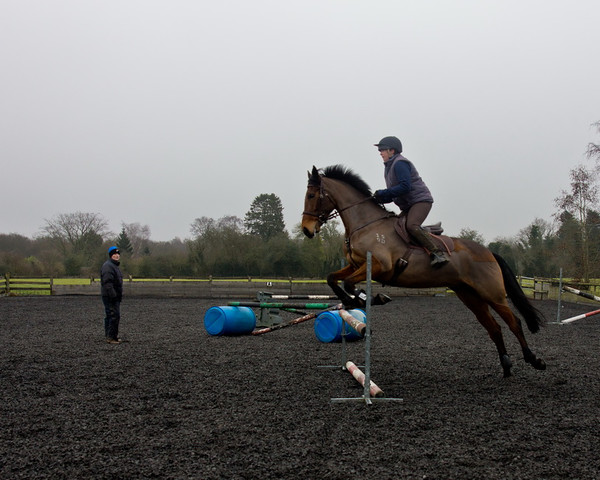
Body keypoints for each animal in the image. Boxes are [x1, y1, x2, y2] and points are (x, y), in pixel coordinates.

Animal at [302, 165, 548, 378]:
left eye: (312, 195)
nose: (306, 230)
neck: (366, 225)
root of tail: (489, 252)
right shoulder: (355, 265)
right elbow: (332, 279)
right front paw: (355, 301)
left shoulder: (380, 266)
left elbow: (349, 284)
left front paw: (367, 298)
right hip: (470, 296)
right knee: (494, 327)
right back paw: (506, 366)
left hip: (492, 293)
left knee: (514, 323)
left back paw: (534, 360)